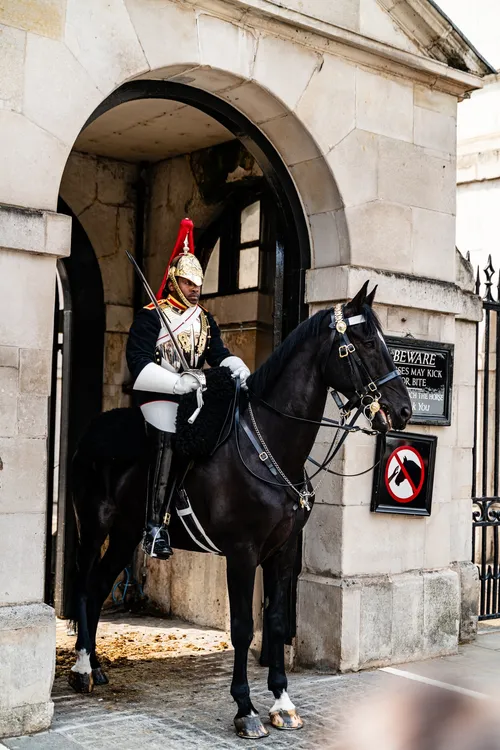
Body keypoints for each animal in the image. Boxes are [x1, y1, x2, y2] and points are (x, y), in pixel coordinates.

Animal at [67, 281, 412, 739]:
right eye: (366, 342)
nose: (404, 410)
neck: (270, 447)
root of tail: (92, 430)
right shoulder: (242, 554)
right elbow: (244, 628)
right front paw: (245, 709)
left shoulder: (283, 553)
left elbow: (278, 622)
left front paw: (283, 703)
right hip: (93, 527)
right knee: (86, 586)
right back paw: (82, 669)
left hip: (125, 534)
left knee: (100, 585)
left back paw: (96, 666)